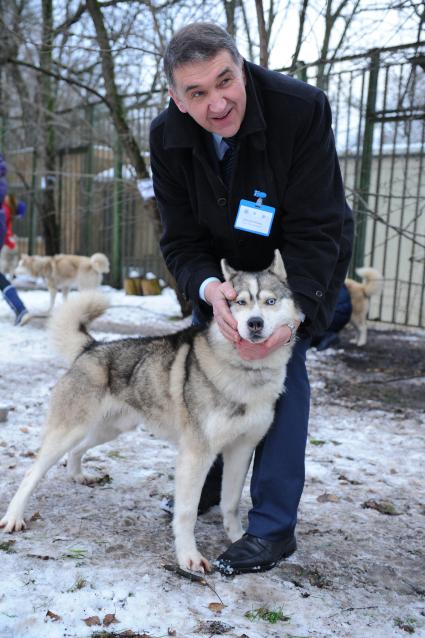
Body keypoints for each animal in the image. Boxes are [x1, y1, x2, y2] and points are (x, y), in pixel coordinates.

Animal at [0, 251, 298, 576]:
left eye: (270, 301)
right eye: (240, 302)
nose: (255, 323)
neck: (247, 373)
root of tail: (91, 347)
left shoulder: (241, 450)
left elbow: (230, 504)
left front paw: (239, 540)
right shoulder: (196, 455)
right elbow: (186, 512)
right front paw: (188, 557)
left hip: (110, 430)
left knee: (76, 451)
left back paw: (79, 475)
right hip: (69, 431)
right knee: (33, 471)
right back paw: (14, 517)